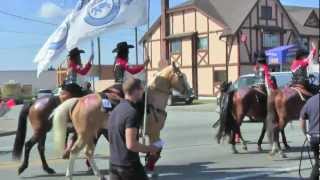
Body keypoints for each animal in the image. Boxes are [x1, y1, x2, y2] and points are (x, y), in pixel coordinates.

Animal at [52, 63, 191, 179]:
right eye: (181, 76)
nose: (190, 92)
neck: (152, 100)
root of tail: (79, 100)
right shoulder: (154, 132)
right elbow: (155, 150)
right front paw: (149, 169)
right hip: (85, 134)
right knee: (75, 151)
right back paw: (70, 176)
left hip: (92, 134)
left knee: (88, 152)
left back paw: (99, 175)